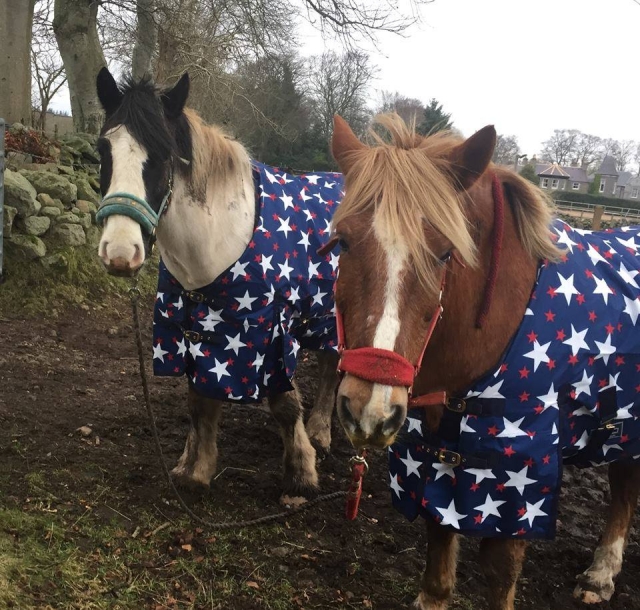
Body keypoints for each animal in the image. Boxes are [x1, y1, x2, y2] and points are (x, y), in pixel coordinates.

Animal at [93, 68, 342, 507]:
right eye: (103, 150)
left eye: (163, 155)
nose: (121, 252)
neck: (217, 242)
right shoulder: (194, 330)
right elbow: (198, 400)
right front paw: (195, 469)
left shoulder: (271, 330)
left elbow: (284, 402)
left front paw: (300, 476)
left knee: (332, 365)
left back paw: (320, 433)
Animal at [326, 113, 640, 609]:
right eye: (342, 243)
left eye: (443, 253)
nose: (369, 410)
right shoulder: (433, 456)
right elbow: (438, 559)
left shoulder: (519, 481)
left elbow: (500, 571)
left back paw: (601, 572)